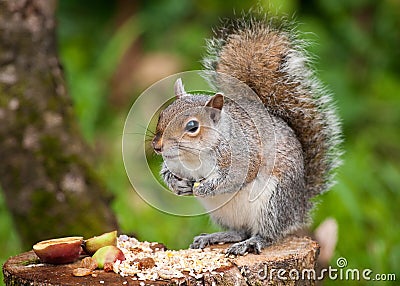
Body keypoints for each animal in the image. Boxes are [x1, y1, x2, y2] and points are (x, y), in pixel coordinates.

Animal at [152, 15, 342, 256]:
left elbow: (234, 178)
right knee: (240, 231)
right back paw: (216, 237)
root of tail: (298, 208)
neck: (193, 156)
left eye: (192, 126)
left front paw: (204, 187)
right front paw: (177, 185)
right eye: (163, 114)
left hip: (273, 203)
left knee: (268, 234)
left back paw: (252, 242)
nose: (157, 146)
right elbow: (168, 173)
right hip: (224, 213)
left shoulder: (244, 156)